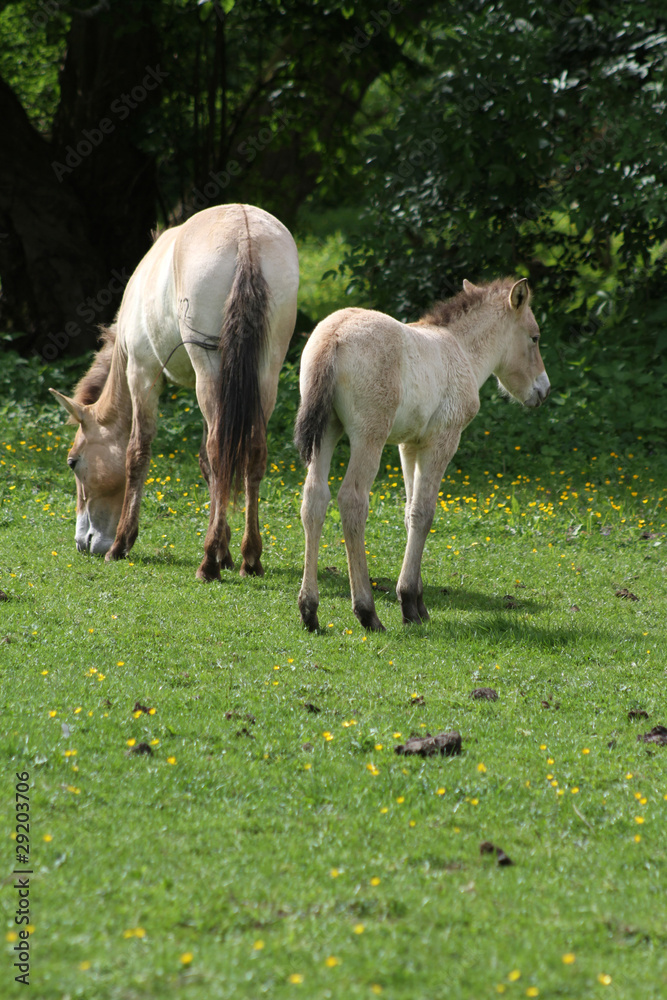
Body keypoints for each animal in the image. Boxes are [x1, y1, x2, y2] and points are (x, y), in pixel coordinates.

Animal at [50, 204, 299, 581]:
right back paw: (249, 558)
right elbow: (208, 466)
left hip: (210, 369)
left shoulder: (142, 373)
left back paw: (208, 564)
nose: (83, 543)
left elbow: (138, 452)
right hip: (264, 371)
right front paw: (226, 552)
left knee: (219, 450)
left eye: (72, 462)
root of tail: (245, 235)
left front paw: (122, 544)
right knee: (251, 452)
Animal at [294, 278, 550, 632]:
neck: (460, 349)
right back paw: (367, 612)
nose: (543, 390)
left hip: (327, 432)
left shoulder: (409, 445)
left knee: (315, 499)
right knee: (352, 501)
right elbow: (424, 513)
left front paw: (417, 602)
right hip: (368, 437)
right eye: (534, 337)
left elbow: (409, 512)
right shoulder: (442, 440)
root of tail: (334, 335)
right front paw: (409, 604)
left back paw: (310, 611)